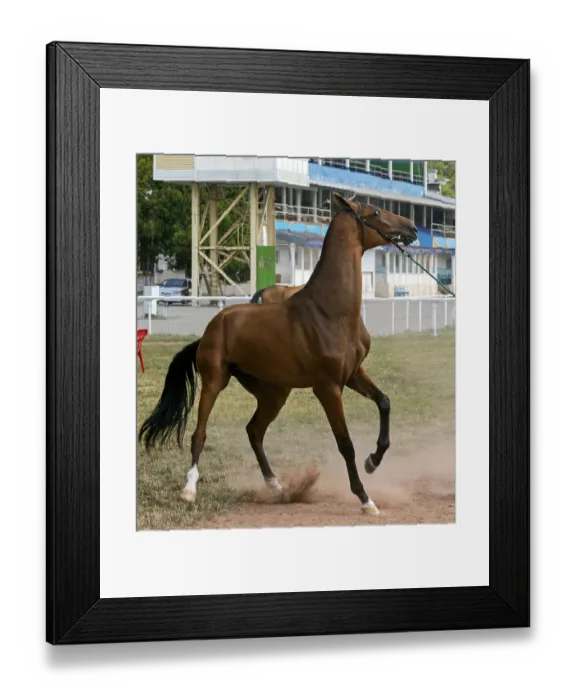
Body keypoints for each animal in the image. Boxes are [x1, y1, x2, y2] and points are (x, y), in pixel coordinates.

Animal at [138, 193, 418, 515]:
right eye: (375, 212)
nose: (412, 228)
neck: (331, 311)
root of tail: (209, 330)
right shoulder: (328, 387)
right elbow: (345, 443)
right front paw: (365, 499)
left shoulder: (353, 374)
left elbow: (384, 402)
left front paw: (373, 461)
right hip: (214, 383)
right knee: (200, 434)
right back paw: (189, 490)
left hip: (274, 393)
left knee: (254, 431)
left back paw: (277, 486)